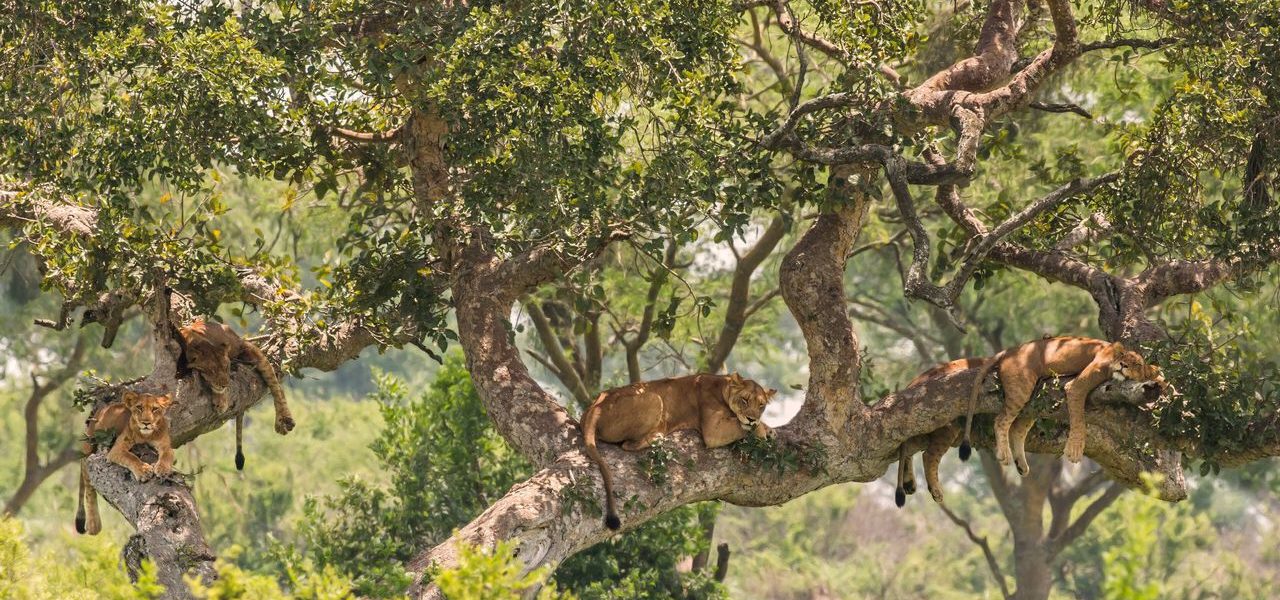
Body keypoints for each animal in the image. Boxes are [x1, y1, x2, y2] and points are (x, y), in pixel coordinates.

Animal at [75, 390, 175, 535]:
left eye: (155, 409)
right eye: (139, 407)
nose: (146, 422)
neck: (146, 436)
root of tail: (100, 410)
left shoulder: (165, 444)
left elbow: (167, 454)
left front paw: (162, 469)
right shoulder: (117, 448)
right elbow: (131, 457)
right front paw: (144, 471)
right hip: (89, 446)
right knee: (88, 484)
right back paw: (94, 525)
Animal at [177, 320, 293, 470]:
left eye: (226, 367)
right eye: (212, 371)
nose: (225, 384)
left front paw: (221, 401)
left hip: (251, 350)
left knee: (276, 384)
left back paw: (284, 421)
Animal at [582, 373, 777, 530]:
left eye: (761, 405)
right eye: (745, 400)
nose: (751, 418)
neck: (723, 386)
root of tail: (595, 406)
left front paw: (768, 429)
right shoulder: (713, 430)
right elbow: (741, 425)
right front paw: (760, 430)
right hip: (654, 397)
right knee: (627, 444)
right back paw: (658, 436)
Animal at [962, 336, 1165, 473]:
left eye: (1137, 364)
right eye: (1122, 355)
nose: (1123, 365)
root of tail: (1010, 349)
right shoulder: (1076, 386)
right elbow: (1079, 419)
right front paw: (1074, 450)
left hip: (1033, 397)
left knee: (1017, 429)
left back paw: (1021, 464)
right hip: (1021, 387)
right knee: (1001, 420)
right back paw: (1004, 455)